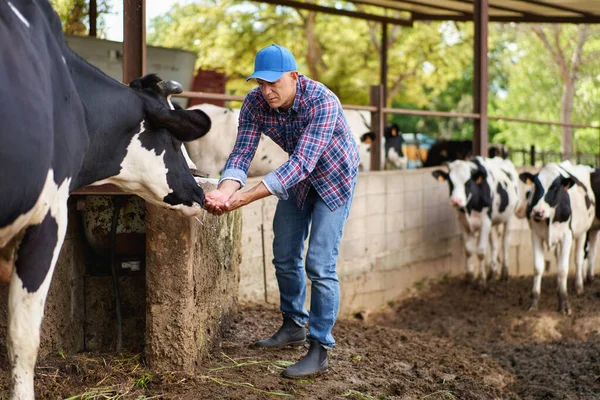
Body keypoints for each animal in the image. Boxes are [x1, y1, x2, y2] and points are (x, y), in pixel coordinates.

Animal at [432, 156, 520, 284]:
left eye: (468, 183)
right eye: (450, 181)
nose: (456, 200)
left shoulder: (485, 222)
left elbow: (481, 252)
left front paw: (481, 280)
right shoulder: (463, 222)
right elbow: (468, 250)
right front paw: (470, 277)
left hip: (509, 217)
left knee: (504, 243)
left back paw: (504, 273)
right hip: (492, 222)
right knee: (494, 244)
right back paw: (492, 273)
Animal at [516, 162, 596, 316]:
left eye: (555, 187)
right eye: (536, 185)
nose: (538, 211)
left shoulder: (567, 236)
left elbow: (563, 270)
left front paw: (564, 304)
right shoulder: (535, 235)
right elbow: (538, 268)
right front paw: (534, 302)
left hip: (583, 232)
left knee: (578, 259)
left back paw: (579, 287)